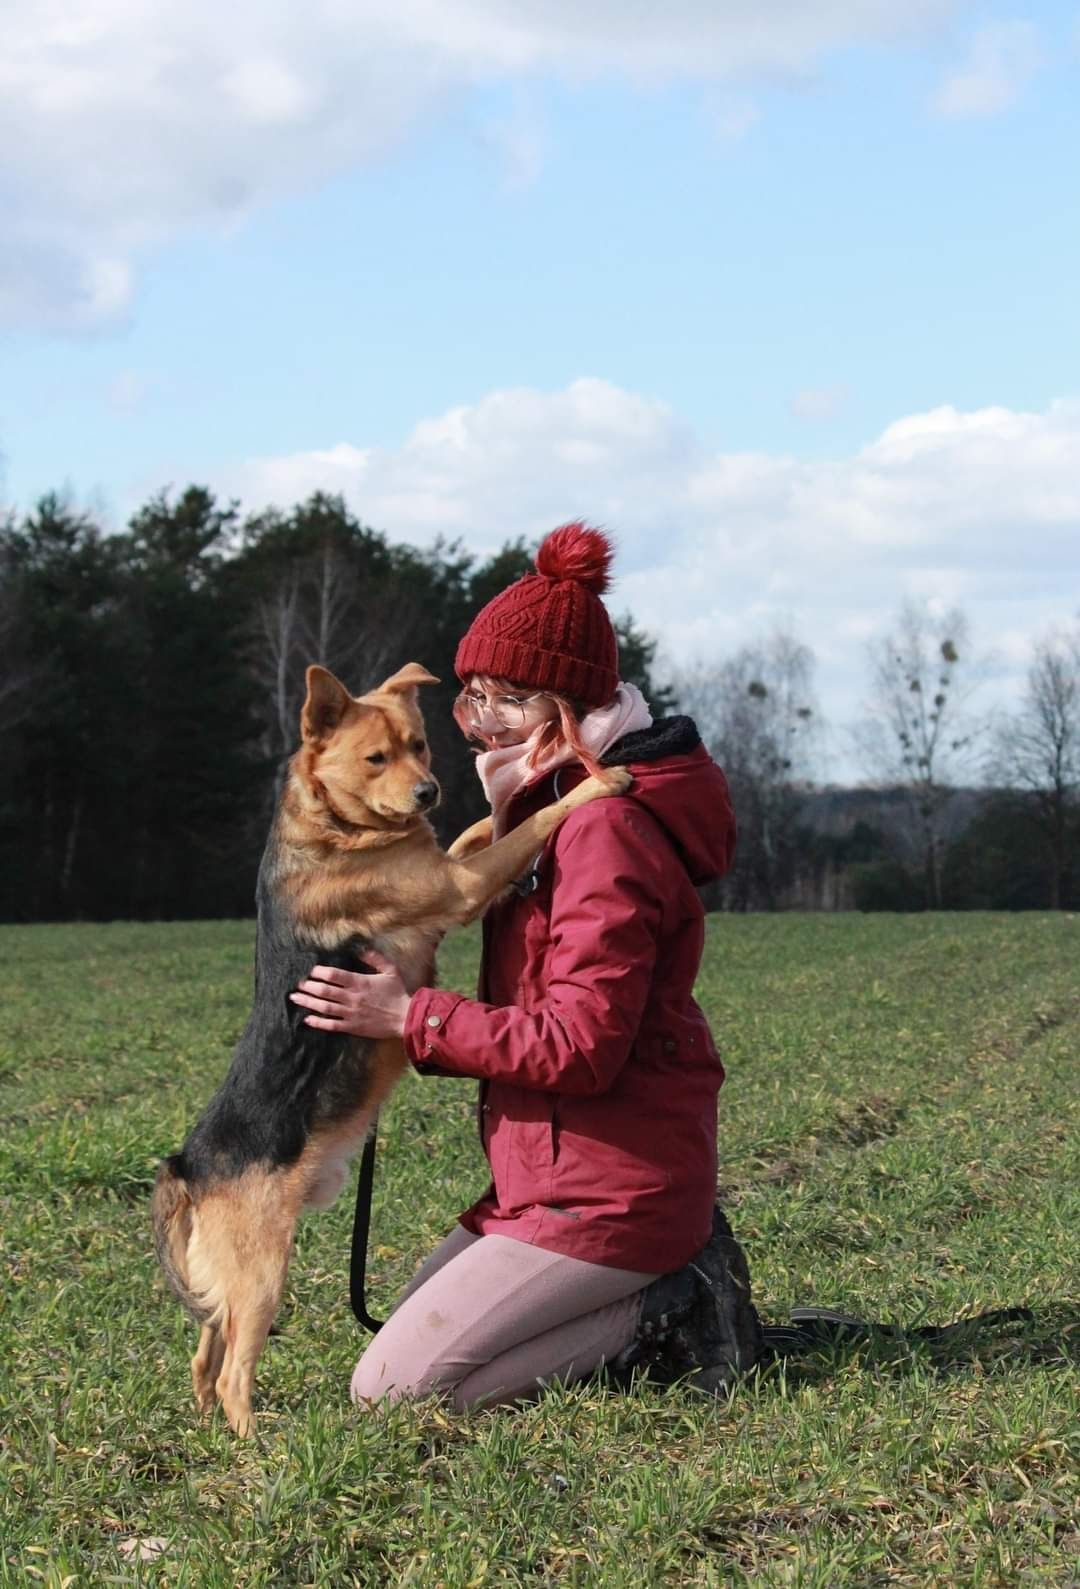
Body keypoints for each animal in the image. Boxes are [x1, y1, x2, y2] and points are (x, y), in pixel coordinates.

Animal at [147, 664, 628, 1436]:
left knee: (203, 1354)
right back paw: (259, 1447)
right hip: (262, 1274)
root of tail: (186, 1166)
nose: (428, 791)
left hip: (224, 1284)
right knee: (231, 1374)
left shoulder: (446, 869)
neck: (334, 825)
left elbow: (481, 831)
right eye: (377, 758)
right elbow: (528, 826)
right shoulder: (458, 887)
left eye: (420, 745)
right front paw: (598, 782)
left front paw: (490, 802)